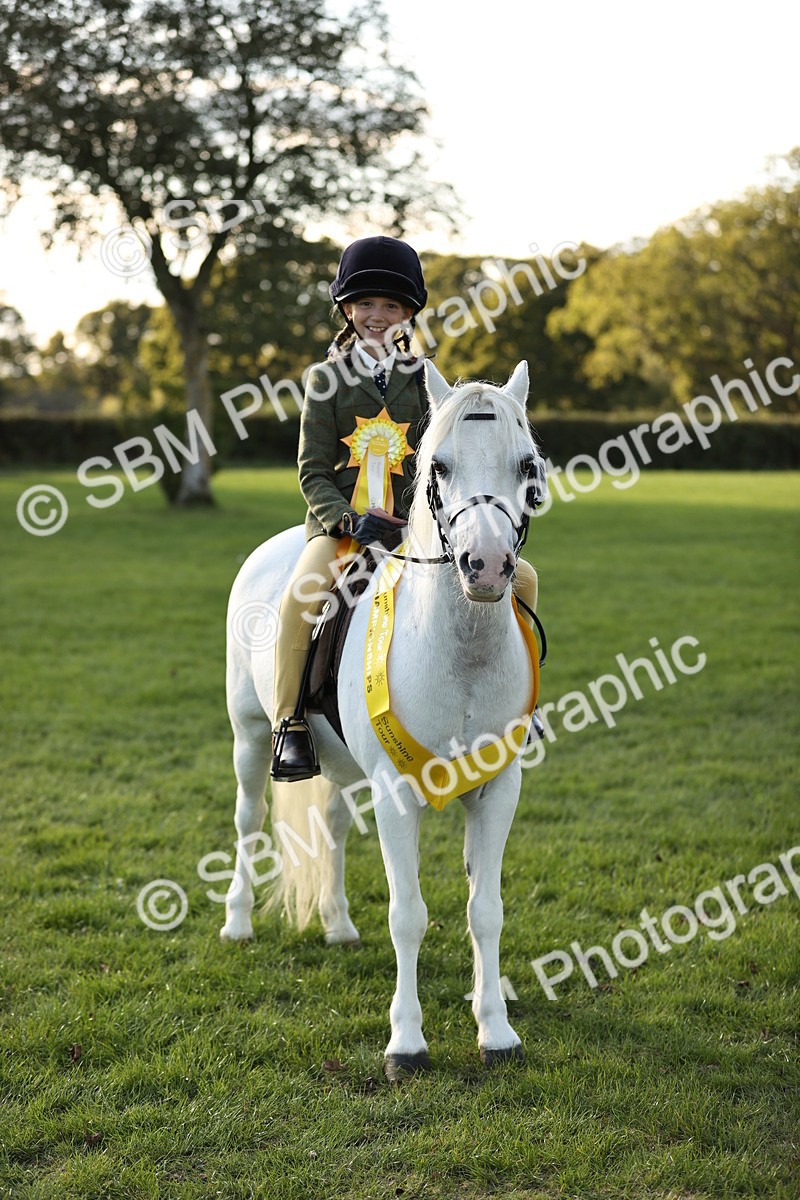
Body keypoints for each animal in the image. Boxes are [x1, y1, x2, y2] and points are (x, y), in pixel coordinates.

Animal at [220, 359, 548, 1080]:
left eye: (527, 464)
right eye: (441, 466)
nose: (486, 567)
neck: (461, 649)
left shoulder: (498, 790)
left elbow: (486, 912)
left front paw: (496, 1029)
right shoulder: (399, 794)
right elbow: (409, 916)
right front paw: (406, 1043)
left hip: (343, 767)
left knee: (334, 824)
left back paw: (338, 926)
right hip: (250, 735)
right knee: (249, 818)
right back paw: (237, 923)